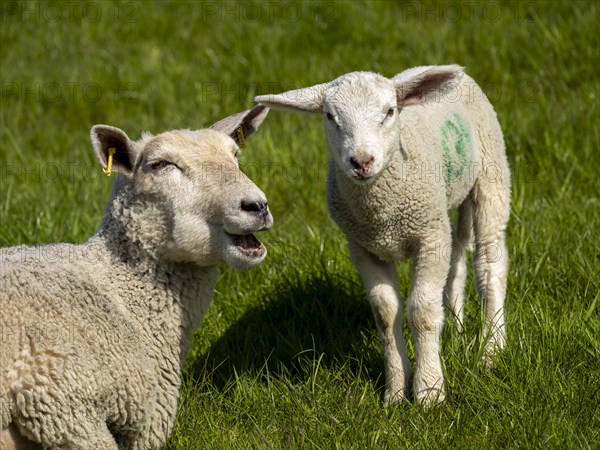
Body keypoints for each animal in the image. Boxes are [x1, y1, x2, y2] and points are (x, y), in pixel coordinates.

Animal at [255, 66, 512, 404]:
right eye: (329, 116)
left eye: (389, 112)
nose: (361, 162)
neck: (382, 215)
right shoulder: (363, 247)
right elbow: (386, 314)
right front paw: (395, 392)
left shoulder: (428, 236)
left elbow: (422, 311)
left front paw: (429, 391)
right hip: (445, 206)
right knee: (456, 257)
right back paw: (455, 326)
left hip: (491, 175)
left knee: (489, 265)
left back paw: (491, 350)